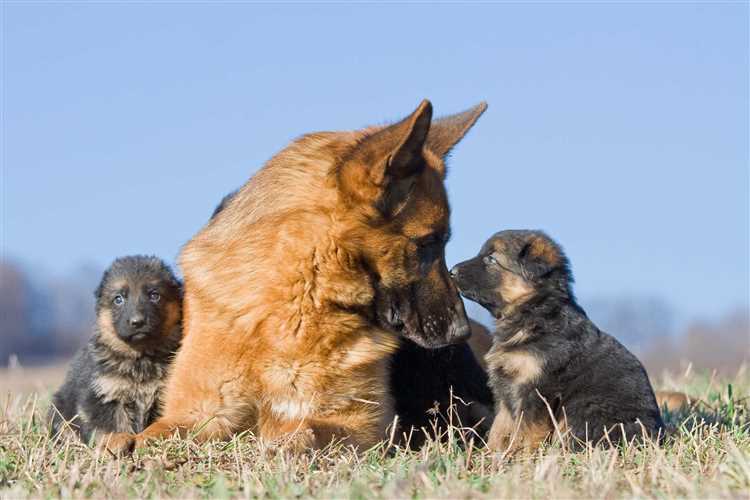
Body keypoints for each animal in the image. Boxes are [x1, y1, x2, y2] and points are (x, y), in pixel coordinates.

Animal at [50, 256, 182, 448]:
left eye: (154, 295)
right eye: (118, 299)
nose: (137, 322)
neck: (140, 357)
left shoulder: (162, 394)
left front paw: (150, 437)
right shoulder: (103, 394)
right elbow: (110, 423)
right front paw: (116, 440)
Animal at [108, 100, 490, 454]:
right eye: (427, 243)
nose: (461, 332)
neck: (295, 300)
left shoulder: (364, 428)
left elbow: (304, 428)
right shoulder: (197, 413)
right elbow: (156, 433)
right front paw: (124, 441)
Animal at [452, 232, 664, 452]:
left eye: (491, 259)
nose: (451, 272)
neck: (533, 312)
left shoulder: (537, 390)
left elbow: (528, 430)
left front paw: (523, 456)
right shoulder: (506, 390)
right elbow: (499, 427)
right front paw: (491, 454)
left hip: (584, 408)